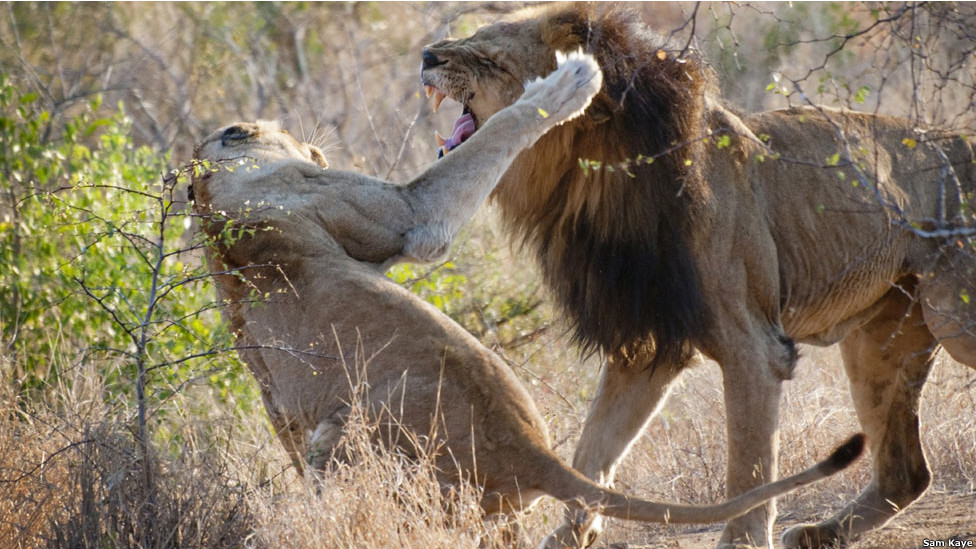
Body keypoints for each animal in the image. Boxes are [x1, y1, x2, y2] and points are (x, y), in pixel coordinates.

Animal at [189, 52, 860, 540]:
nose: (311, 140)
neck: (211, 206)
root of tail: (534, 453)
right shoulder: (409, 214)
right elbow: (496, 134)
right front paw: (569, 83)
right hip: (344, 438)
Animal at [424, 4, 976, 548]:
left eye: (492, 60)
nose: (428, 55)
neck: (595, 176)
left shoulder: (753, 345)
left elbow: (749, 467)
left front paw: (742, 541)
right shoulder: (644, 343)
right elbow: (593, 451)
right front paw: (569, 535)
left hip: (953, 320)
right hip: (880, 339)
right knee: (907, 473)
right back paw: (821, 533)